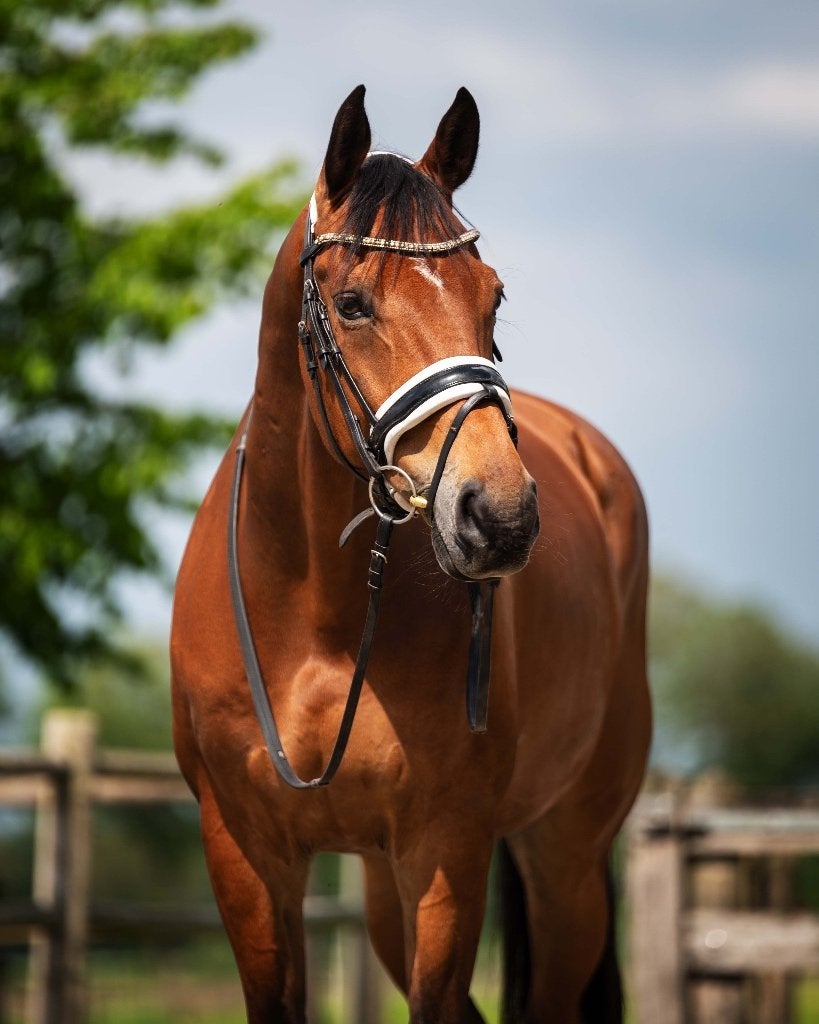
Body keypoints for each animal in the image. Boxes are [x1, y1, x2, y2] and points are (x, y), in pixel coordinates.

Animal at [170, 85, 651, 1024]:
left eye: (492, 295)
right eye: (353, 304)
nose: (500, 515)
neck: (316, 612)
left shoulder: (446, 848)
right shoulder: (244, 852)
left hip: (567, 858)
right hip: (385, 891)